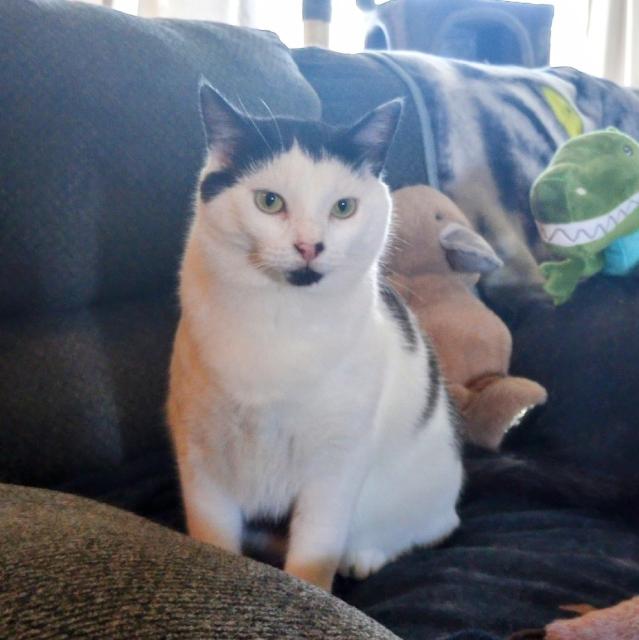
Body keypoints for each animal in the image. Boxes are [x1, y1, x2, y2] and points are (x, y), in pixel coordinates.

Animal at [168, 82, 462, 592]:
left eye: (344, 208)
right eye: (269, 201)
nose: (310, 246)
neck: (279, 319)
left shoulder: (336, 465)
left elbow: (313, 557)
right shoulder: (201, 456)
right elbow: (215, 541)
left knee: (426, 527)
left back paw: (364, 555)